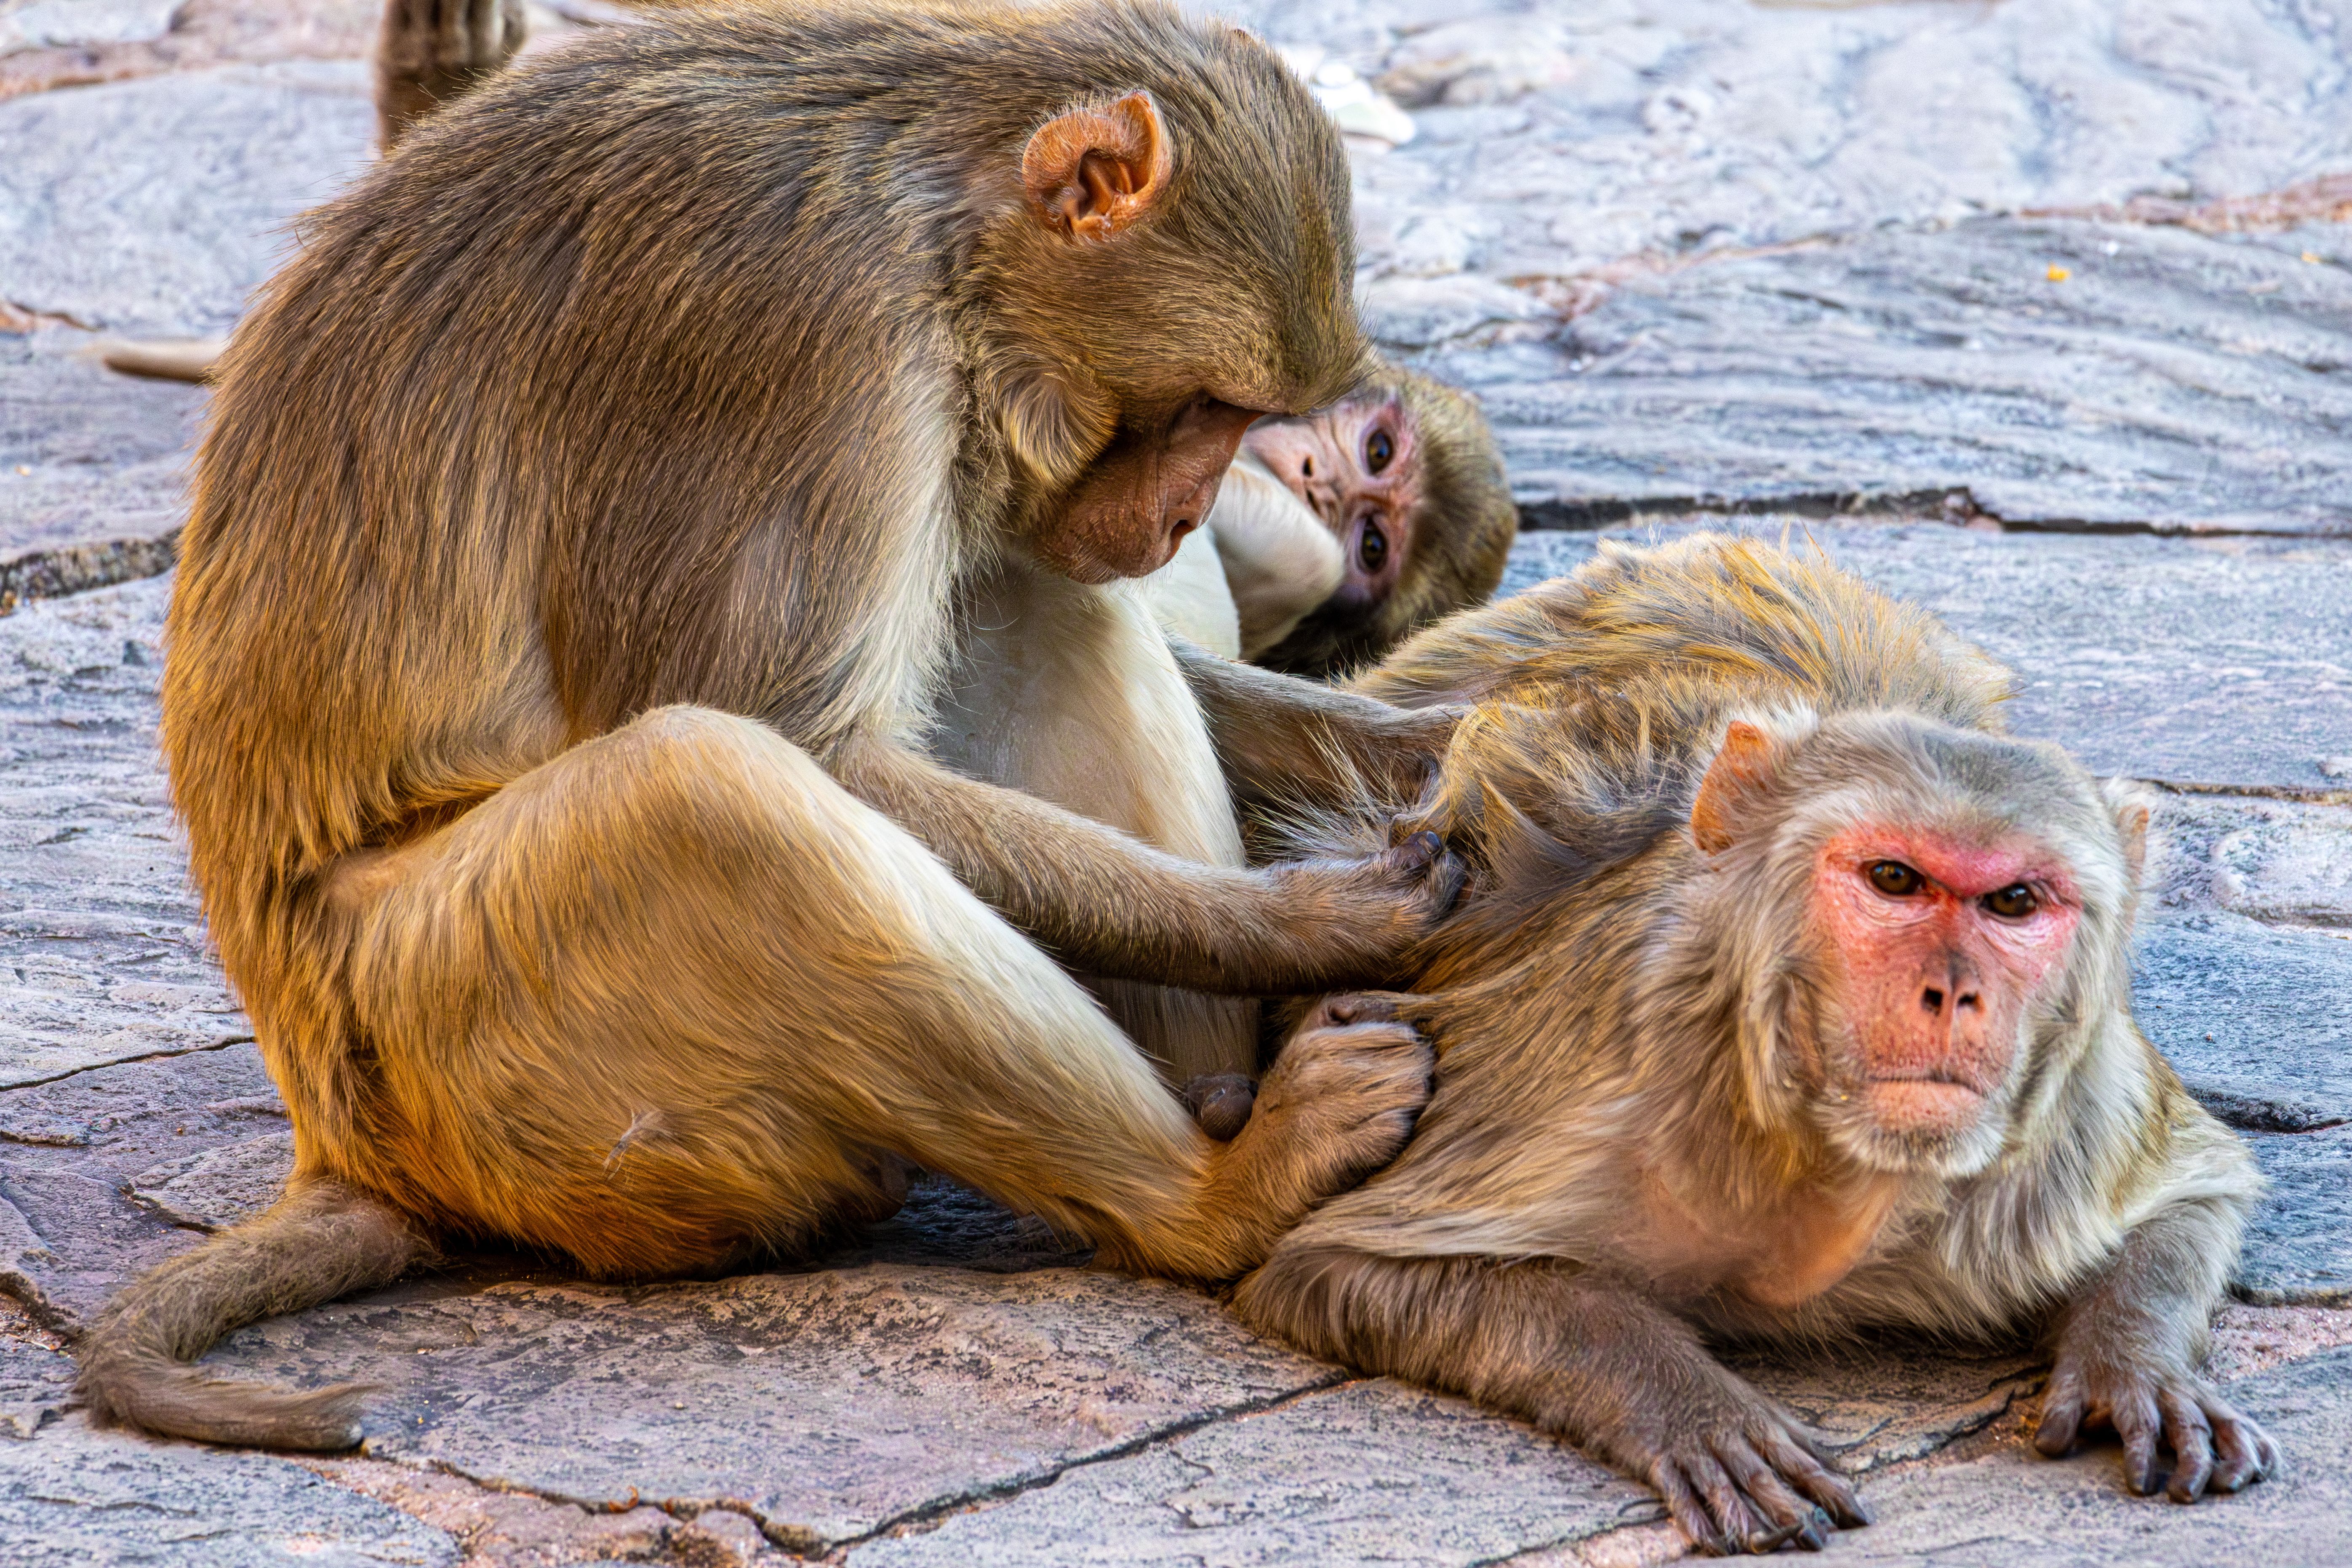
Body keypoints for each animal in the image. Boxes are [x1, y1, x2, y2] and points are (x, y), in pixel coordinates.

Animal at [76, 0, 1475, 1454]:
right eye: (1206, 407)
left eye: (1241, 420)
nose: (1188, 512)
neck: (938, 219)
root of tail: (338, 1144)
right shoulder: (805, 332)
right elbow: (796, 736)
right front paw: (1305, 917)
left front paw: (1445, 739)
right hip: (461, 1054)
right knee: (707, 793)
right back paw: (1214, 1196)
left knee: (1026, 598)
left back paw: (1218, 1114)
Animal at [1230, 532, 2278, 1555]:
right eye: (1894, 879)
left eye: (2015, 900)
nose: (1954, 993)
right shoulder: (1602, 1076)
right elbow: (1335, 1266)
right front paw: (1685, 1401)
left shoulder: (2071, 1113)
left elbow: (2198, 1192)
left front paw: (2135, 1366)